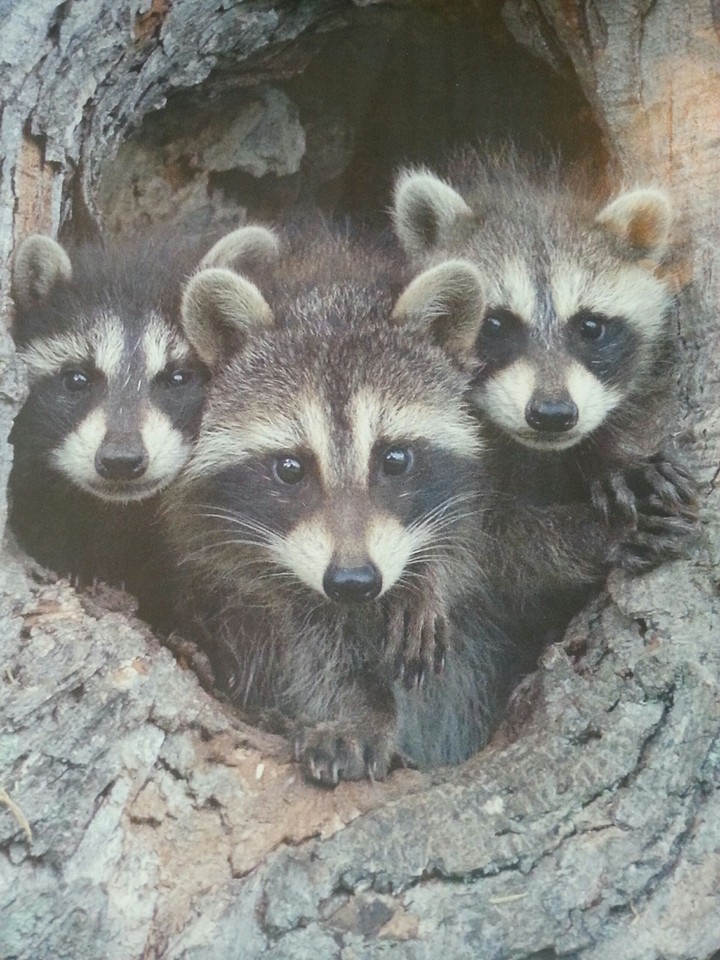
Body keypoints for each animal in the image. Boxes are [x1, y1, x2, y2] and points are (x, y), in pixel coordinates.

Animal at [164, 228, 513, 783]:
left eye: (395, 459)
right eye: (289, 468)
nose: (353, 581)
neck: (328, 285)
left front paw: (430, 577)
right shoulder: (221, 554)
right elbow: (308, 647)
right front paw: (358, 712)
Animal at [391, 149, 697, 651]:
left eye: (590, 327)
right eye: (494, 324)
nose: (552, 415)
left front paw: (622, 456)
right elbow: (489, 548)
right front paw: (591, 535)